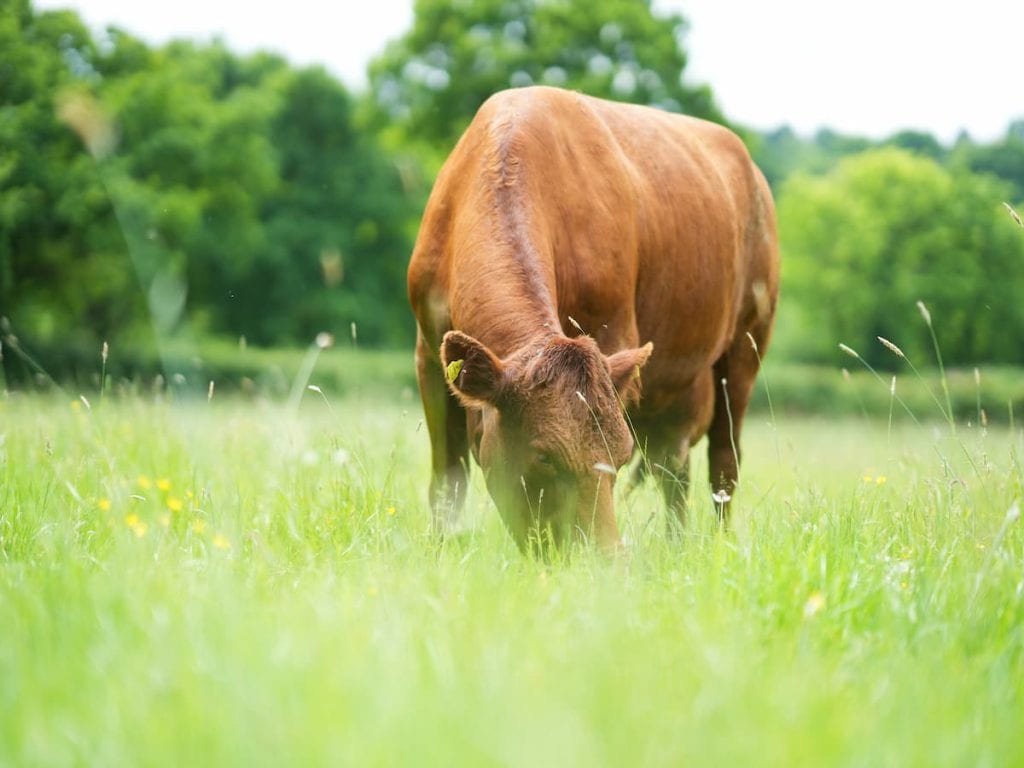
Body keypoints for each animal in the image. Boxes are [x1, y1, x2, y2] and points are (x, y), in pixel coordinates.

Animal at [408, 86, 779, 553]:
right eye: (543, 456)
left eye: (618, 455)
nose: (602, 556)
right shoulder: (428, 350)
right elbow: (447, 480)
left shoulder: (615, 336)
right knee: (672, 465)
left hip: (746, 345)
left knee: (723, 461)